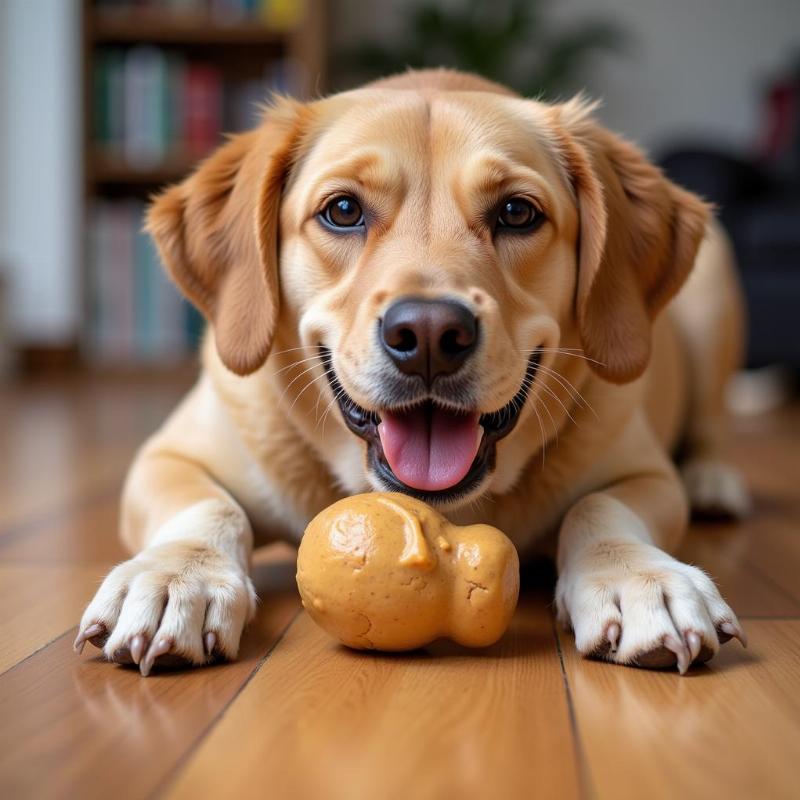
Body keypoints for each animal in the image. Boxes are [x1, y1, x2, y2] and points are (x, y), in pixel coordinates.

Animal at [73, 72, 752, 680]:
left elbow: (600, 508)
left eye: (517, 212)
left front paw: (641, 579)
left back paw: (714, 479)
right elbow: (207, 509)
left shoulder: (644, 473)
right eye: (343, 209)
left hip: (715, 284)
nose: (429, 336)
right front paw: (173, 578)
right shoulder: (168, 457)